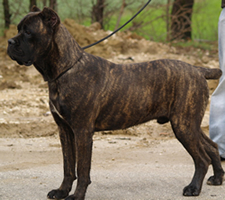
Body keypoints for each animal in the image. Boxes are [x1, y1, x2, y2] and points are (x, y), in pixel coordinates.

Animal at [7, 6, 225, 200]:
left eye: (28, 32)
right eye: (18, 28)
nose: (9, 41)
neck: (64, 70)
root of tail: (197, 70)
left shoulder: (82, 132)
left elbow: (82, 169)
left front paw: (76, 196)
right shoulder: (65, 130)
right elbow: (68, 167)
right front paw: (61, 192)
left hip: (183, 125)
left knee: (201, 158)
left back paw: (193, 188)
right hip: (188, 124)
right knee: (212, 146)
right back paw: (217, 178)